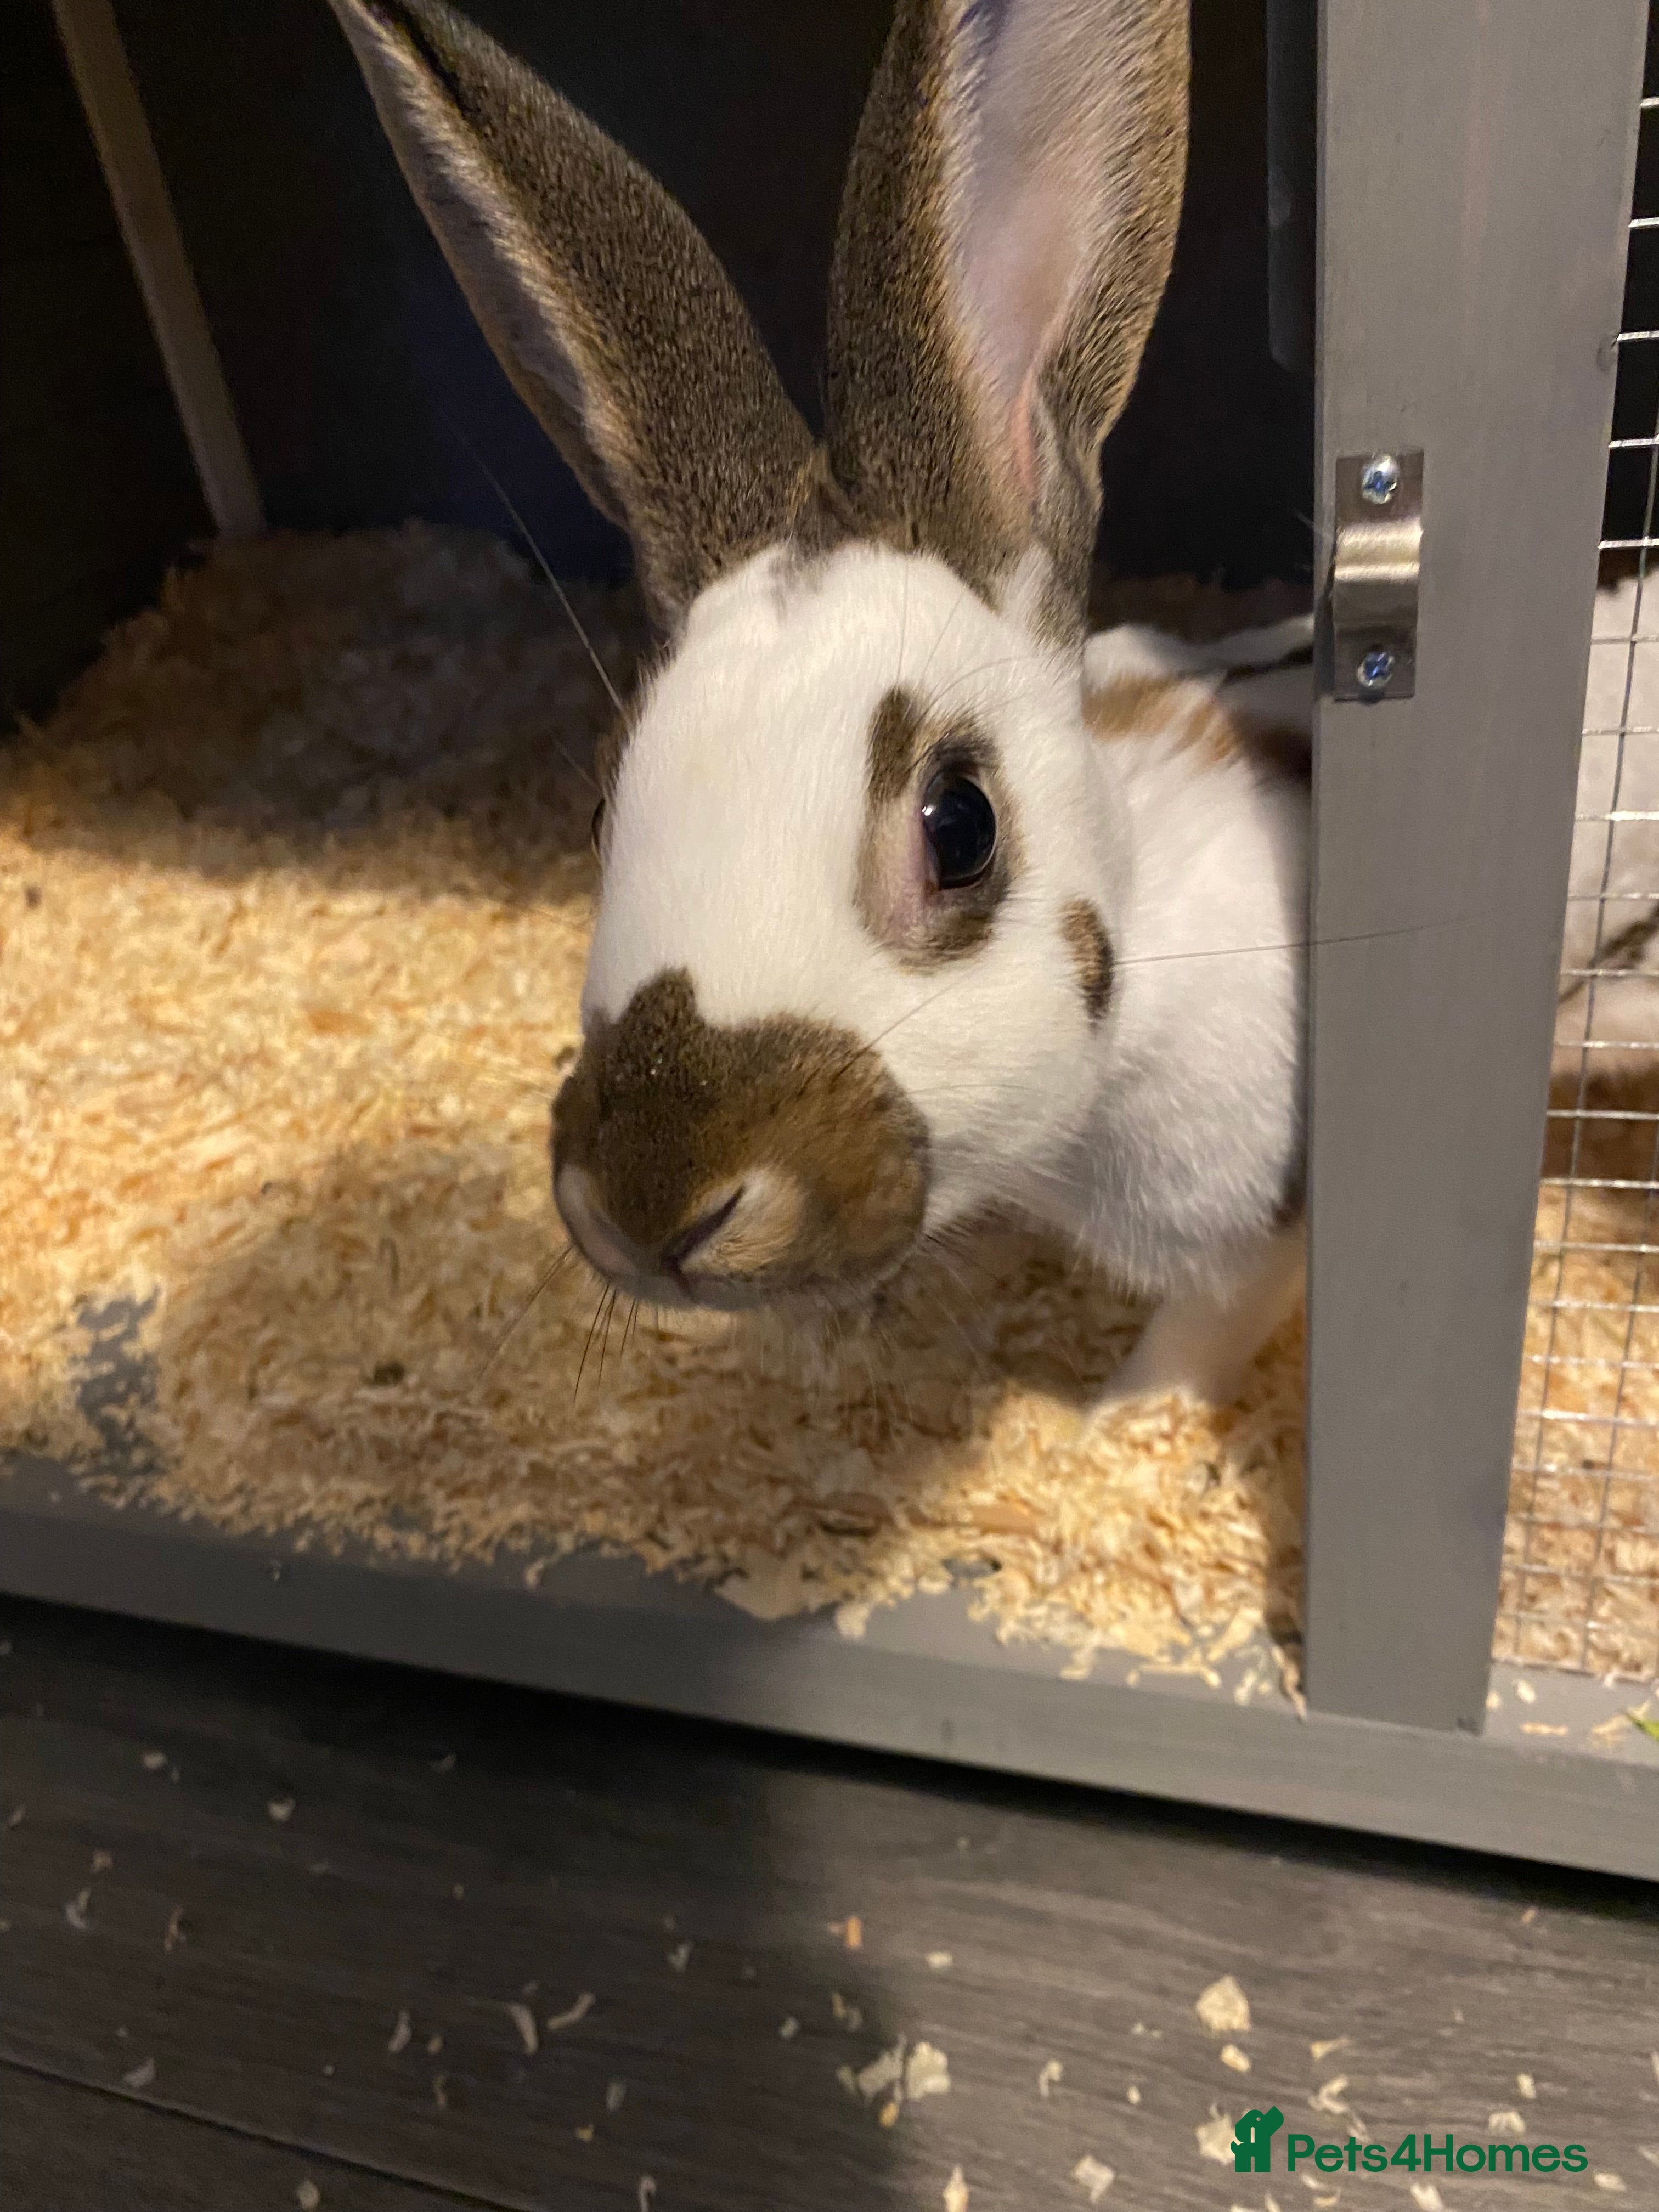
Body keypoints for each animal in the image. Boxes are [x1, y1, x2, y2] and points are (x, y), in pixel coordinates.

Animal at [328, 0, 1317, 1413]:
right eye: (600, 814)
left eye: (959, 827)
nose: (653, 1210)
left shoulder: (1250, 1242)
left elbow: (1197, 1341)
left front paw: (1116, 1420)